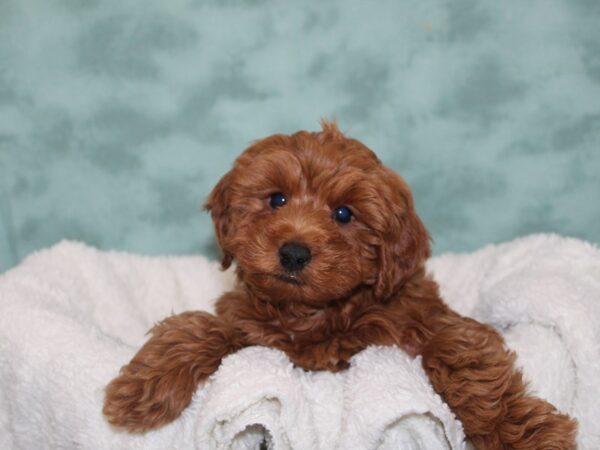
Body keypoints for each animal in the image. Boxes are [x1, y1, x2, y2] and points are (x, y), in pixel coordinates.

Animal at [103, 121, 576, 448]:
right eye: (276, 199)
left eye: (344, 214)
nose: (294, 252)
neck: (318, 313)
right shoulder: (254, 332)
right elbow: (198, 327)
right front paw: (139, 390)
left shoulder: (429, 324)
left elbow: (465, 361)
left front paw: (526, 435)